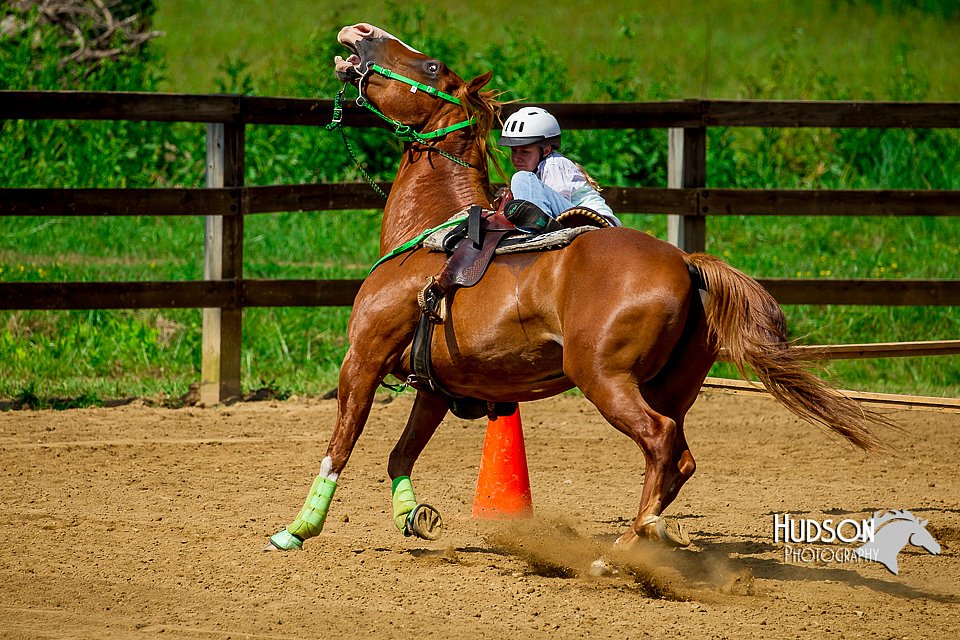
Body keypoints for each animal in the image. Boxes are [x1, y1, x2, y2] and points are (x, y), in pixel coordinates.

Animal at [262, 23, 884, 556]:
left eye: (432, 65)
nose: (360, 33)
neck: (432, 232)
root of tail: (685, 261)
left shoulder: (362, 359)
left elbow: (340, 447)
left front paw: (297, 529)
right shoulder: (435, 386)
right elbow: (399, 454)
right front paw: (411, 515)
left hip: (604, 378)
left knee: (660, 444)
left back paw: (618, 554)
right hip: (669, 387)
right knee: (678, 459)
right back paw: (641, 540)